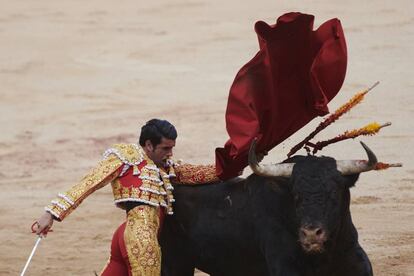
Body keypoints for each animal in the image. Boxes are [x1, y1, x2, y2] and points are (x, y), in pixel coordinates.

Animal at [160, 142, 380, 276]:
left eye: (334, 194)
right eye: (296, 195)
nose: (311, 234)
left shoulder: (356, 259)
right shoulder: (284, 266)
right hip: (173, 262)